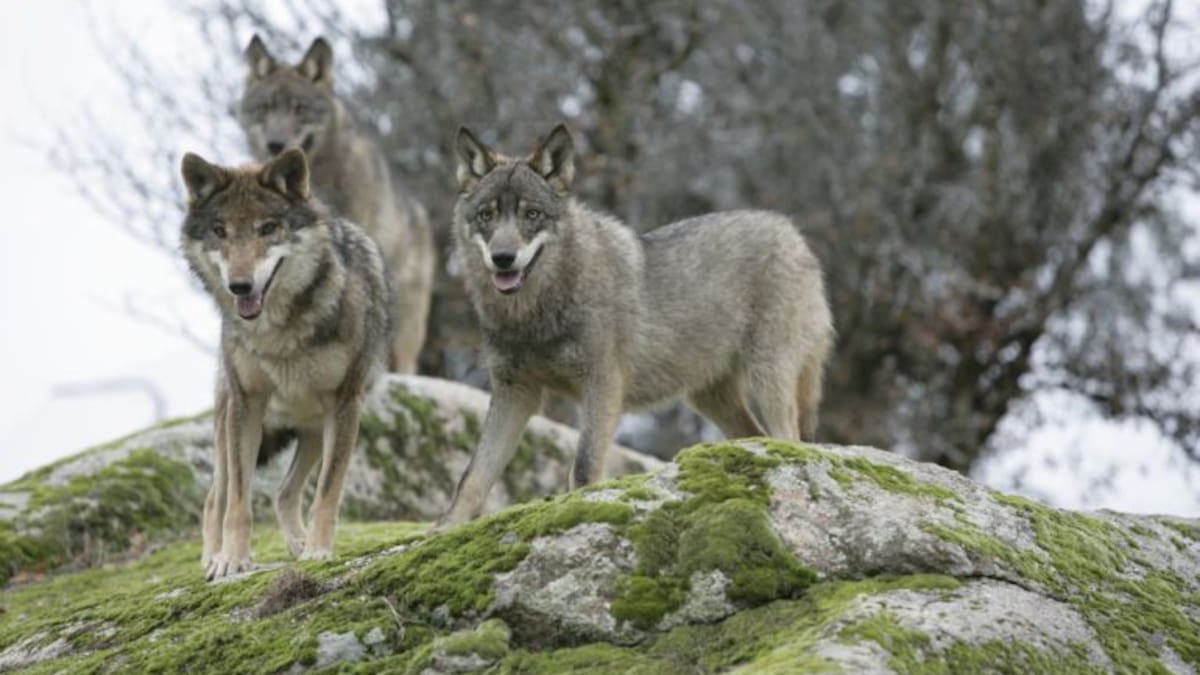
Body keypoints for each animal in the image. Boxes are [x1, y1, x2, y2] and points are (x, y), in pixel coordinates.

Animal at [180, 148, 394, 579]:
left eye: (267, 229)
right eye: (220, 231)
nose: (240, 286)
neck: (278, 332)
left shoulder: (345, 403)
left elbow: (327, 492)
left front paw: (318, 551)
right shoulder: (247, 404)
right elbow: (239, 502)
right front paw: (232, 560)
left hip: (314, 429)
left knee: (283, 492)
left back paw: (299, 543)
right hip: (230, 423)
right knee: (215, 497)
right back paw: (212, 557)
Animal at [440, 124, 835, 525]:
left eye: (532, 214)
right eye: (486, 215)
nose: (503, 258)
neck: (535, 312)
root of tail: (793, 233)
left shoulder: (601, 385)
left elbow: (583, 469)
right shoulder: (514, 393)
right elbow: (472, 477)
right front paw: (444, 529)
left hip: (766, 381)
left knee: (791, 440)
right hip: (711, 398)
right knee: (757, 437)